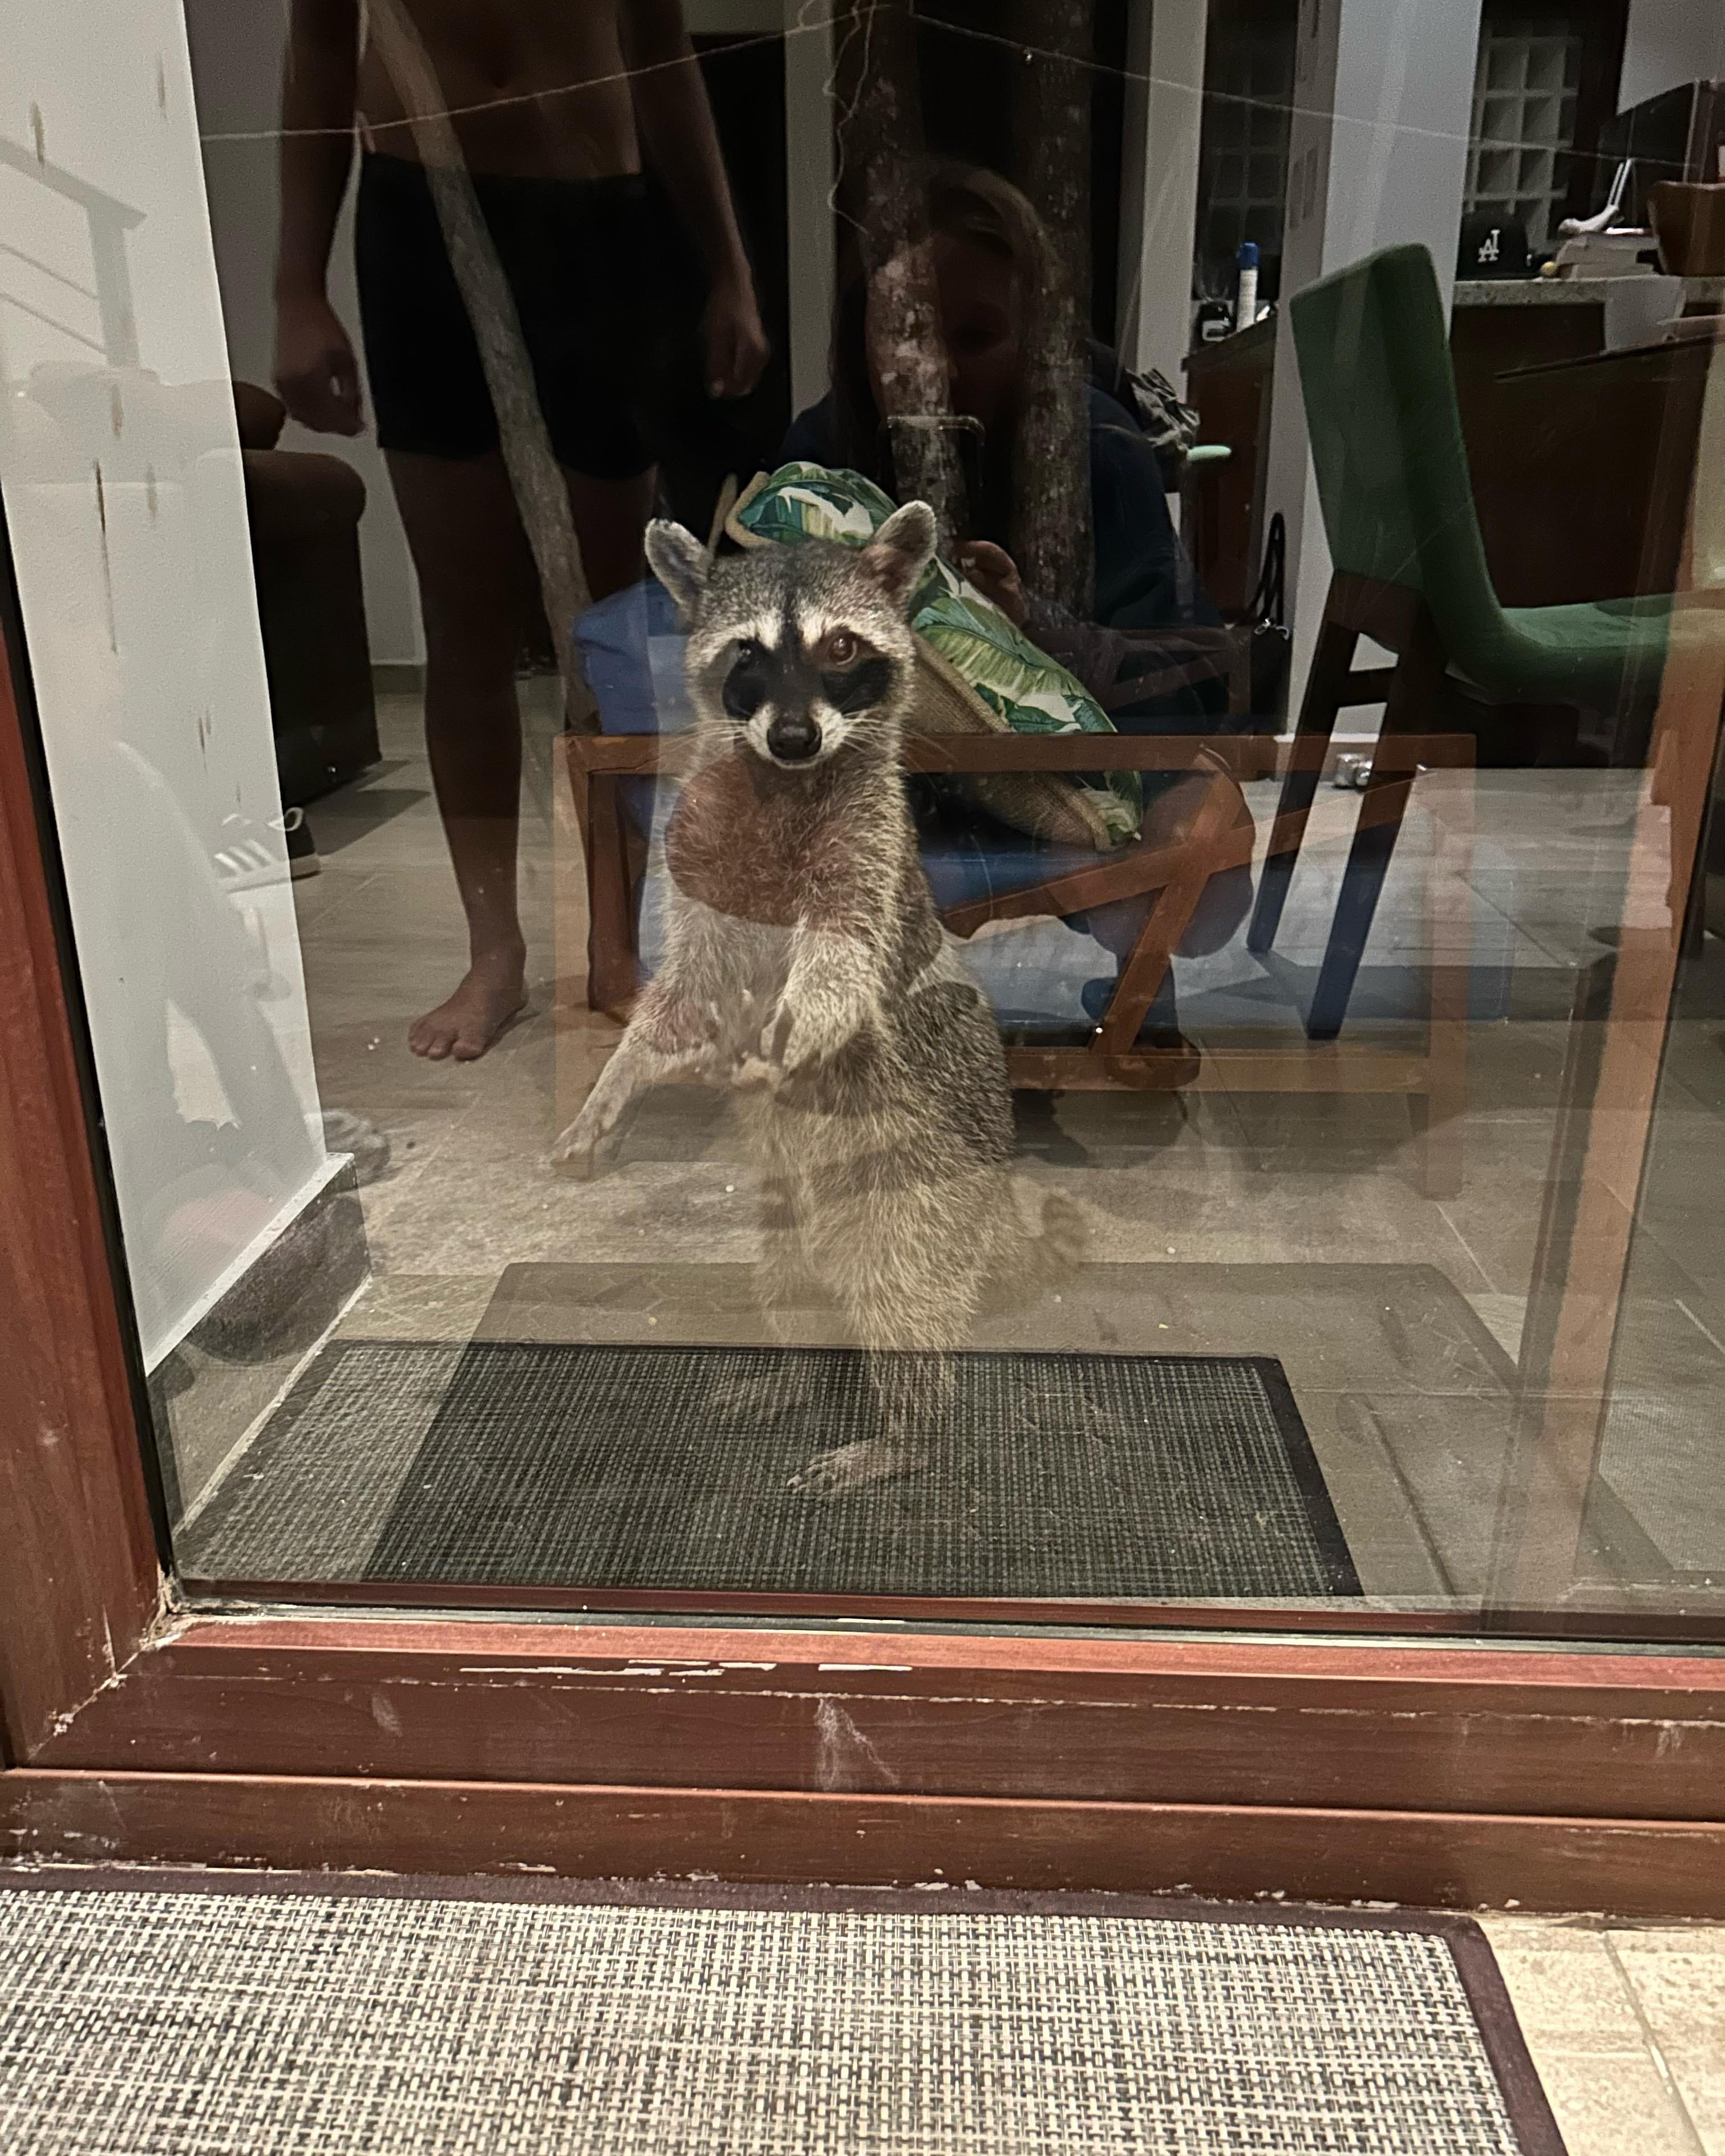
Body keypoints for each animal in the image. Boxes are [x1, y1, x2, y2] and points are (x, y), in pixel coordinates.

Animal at [551, 502, 1081, 1493]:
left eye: (841, 647)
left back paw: (908, 1434)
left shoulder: (865, 855)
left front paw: (785, 1040)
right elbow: (684, 995)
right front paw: (619, 1076)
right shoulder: (699, 854)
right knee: (791, 1284)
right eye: (746, 655)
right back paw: (798, 1370)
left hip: (917, 1203)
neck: (785, 779)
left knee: (904, 1306)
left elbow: (838, 977)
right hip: (787, 1217)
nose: (795, 737)